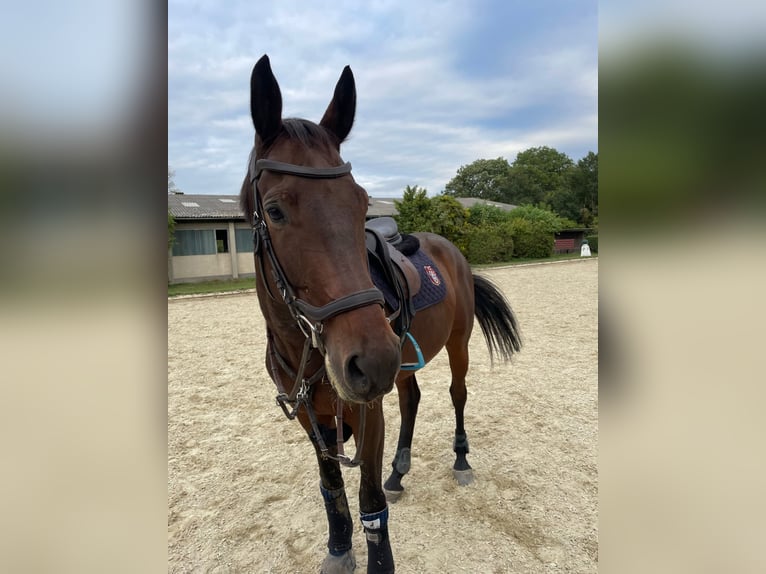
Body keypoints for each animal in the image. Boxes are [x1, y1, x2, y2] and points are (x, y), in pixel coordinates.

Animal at [242, 55, 520, 574]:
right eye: (274, 210)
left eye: (360, 203)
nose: (369, 359)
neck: (307, 350)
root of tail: (452, 249)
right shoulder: (314, 418)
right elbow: (332, 487)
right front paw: (338, 549)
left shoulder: (367, 411)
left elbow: (369, 501)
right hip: (403, 362)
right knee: (412, 399)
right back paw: (400, 470)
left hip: (454, 346)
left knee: (457, 394)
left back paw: (461, 460)